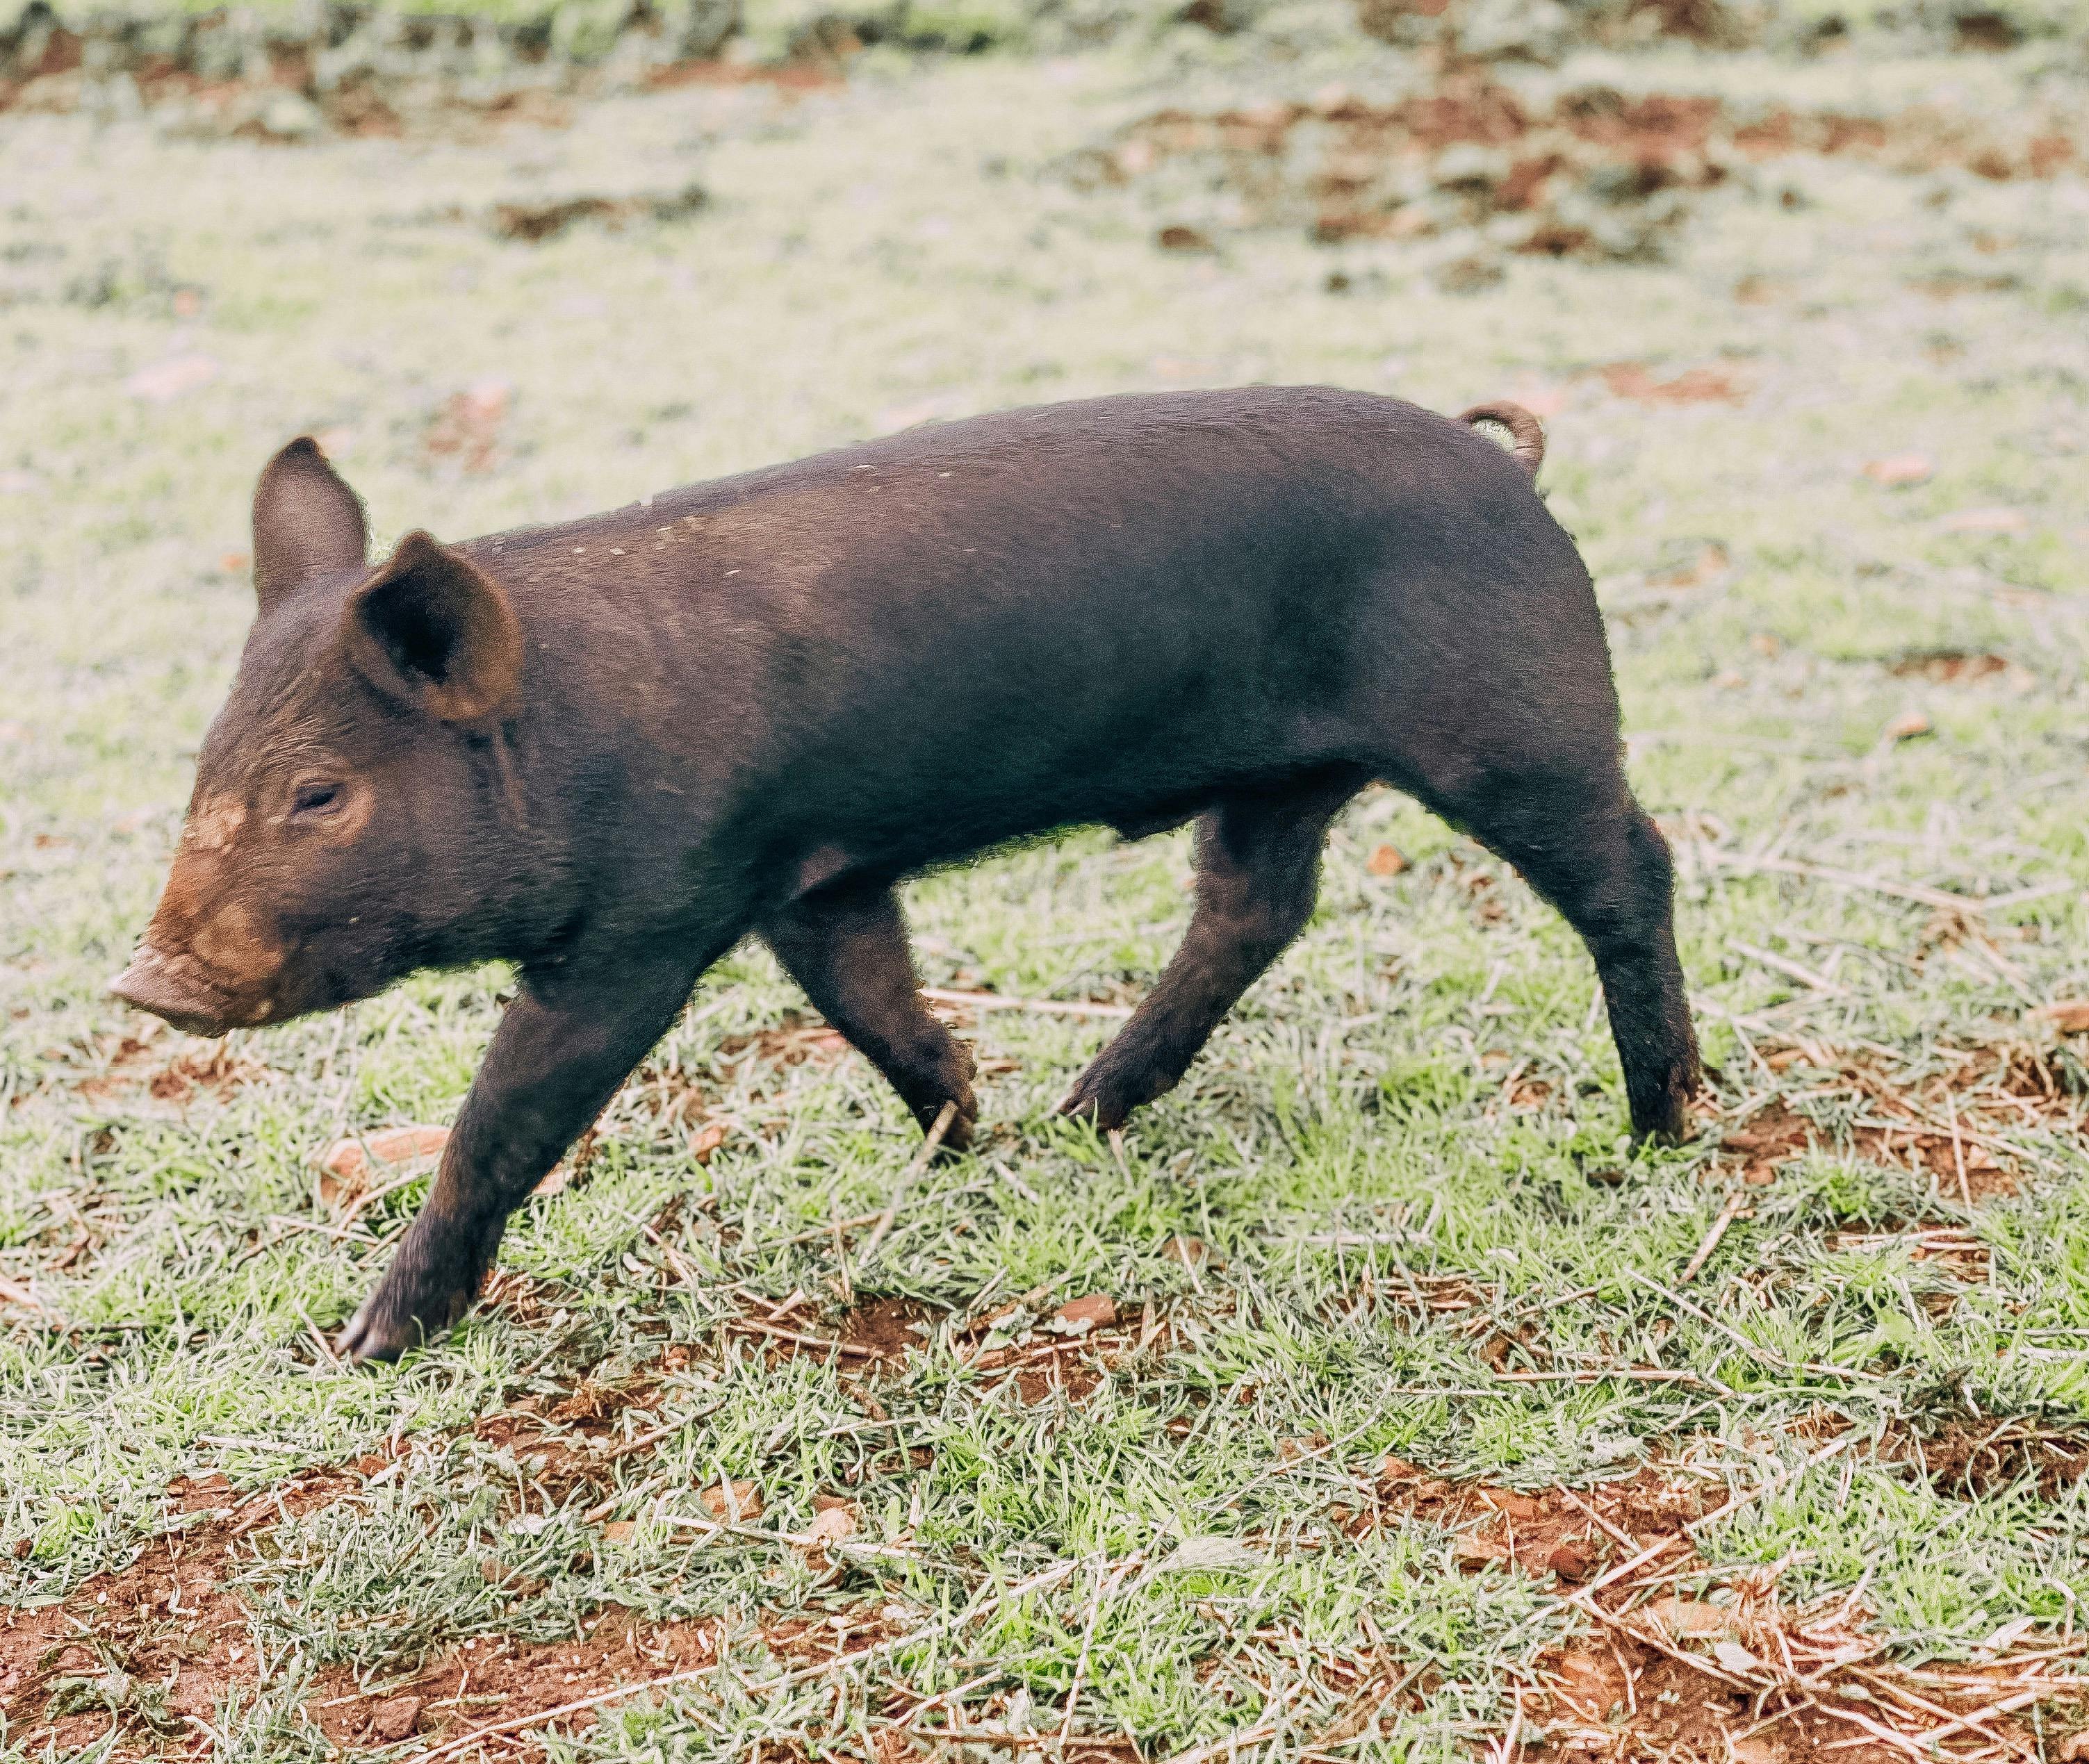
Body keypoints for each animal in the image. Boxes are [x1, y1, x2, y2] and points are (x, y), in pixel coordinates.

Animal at [113, 387, 1700, 1360]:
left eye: (322, 792)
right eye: (208, 761)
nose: (147, 977)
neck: (571, 727)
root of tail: (1508, 462)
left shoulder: (653, 913)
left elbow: (503, 1121)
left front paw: (367, 1343)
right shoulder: (808, 874)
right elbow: (874, 998)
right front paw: (959, 1132)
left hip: (1515, 717)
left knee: (1631, 863)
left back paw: (1663, 1127)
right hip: (1282, 779)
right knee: (1255, 907)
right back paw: (1080, 1114)